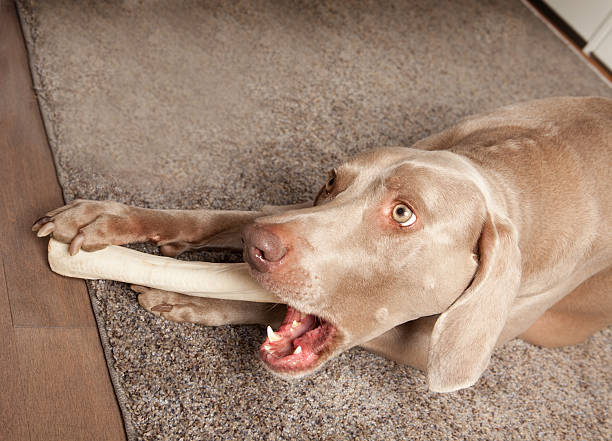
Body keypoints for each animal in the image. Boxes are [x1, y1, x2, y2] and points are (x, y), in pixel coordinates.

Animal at [33, 97, 612, 392]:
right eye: (331, 181)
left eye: (403, 213)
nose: (258, 247)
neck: (514, 173)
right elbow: (224, 217)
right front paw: (109, 218)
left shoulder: (424, 348)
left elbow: (267, 303)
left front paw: (186, 298)